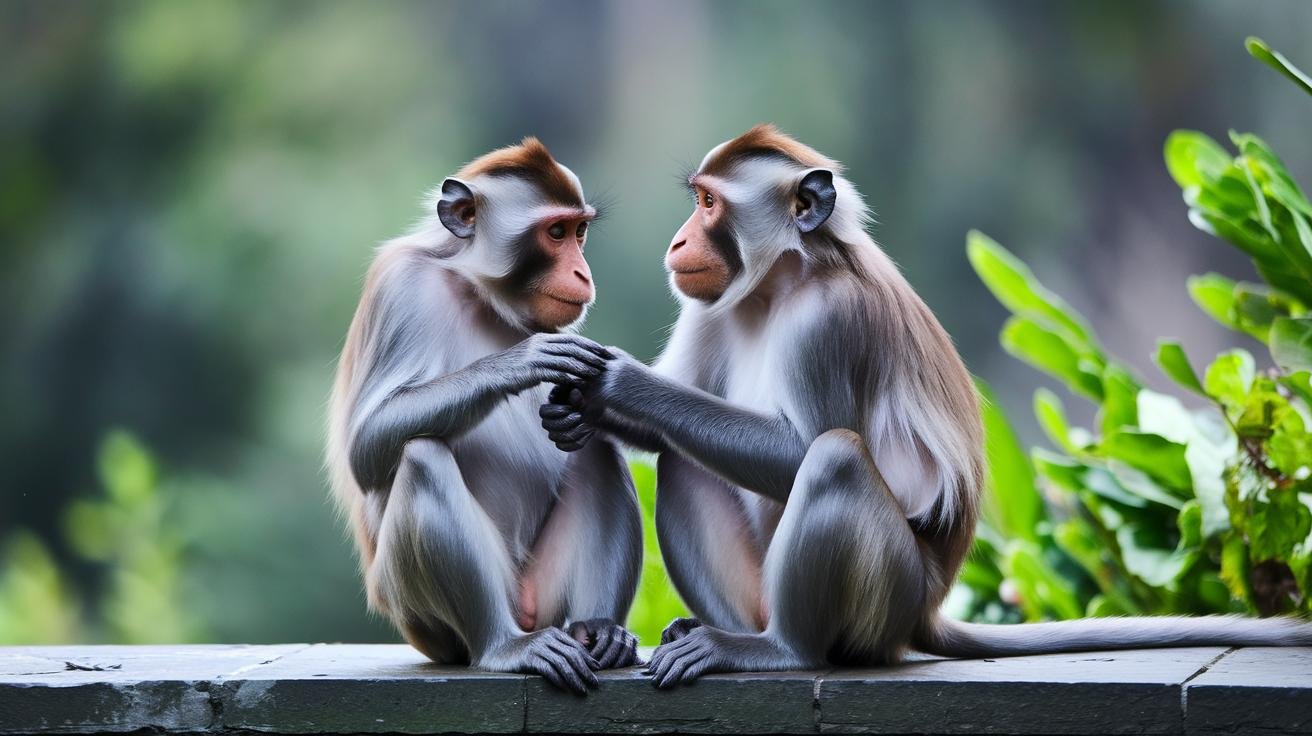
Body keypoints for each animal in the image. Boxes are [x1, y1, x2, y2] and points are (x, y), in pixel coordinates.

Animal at [327, 138, 642, 694]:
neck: (476, 288)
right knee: (421, 455)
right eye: (555, 233)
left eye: (579, 232)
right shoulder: (400, 287)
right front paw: (520, 363)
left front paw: (574, 419)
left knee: (598, 455)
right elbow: (366, 449)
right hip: (422, 619)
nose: (583, 273)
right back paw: (502, 646)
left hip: (544, 593)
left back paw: (601, 630)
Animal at [540, 124, 1312, 688]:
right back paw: (729, 633)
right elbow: (664, 439)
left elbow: (799, 450)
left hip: (890, 596)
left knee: (834, 460)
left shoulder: (832, 321)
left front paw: (616, 385)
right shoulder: (710, 304)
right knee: (686, 458)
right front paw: (575, 407)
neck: (784, 279)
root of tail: (930, 608)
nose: (680, 241)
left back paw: (781, 650)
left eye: (707, 205)